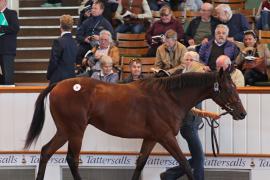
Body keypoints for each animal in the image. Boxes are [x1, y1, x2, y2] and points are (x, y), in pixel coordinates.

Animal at [24, 70, 246, 180]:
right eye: (229, 88)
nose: (242, 113)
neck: (169, 97)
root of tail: (58, 85)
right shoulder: (166, 137)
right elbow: (185, 163)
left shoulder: (150, 138)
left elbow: (140, 164)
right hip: (76, 131)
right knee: (71, 159)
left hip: (64, 130)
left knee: (45, 151)